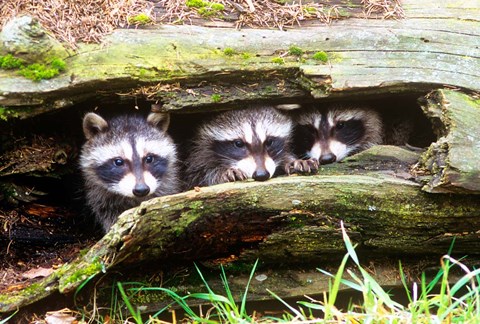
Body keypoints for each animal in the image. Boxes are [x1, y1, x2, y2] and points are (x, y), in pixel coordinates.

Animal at [184, 106, 316, 187]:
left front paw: (292, 161)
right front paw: (223, 173)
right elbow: (198, 177)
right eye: (239, 144)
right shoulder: (197, 152)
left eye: (269, 142)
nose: (261, 175)